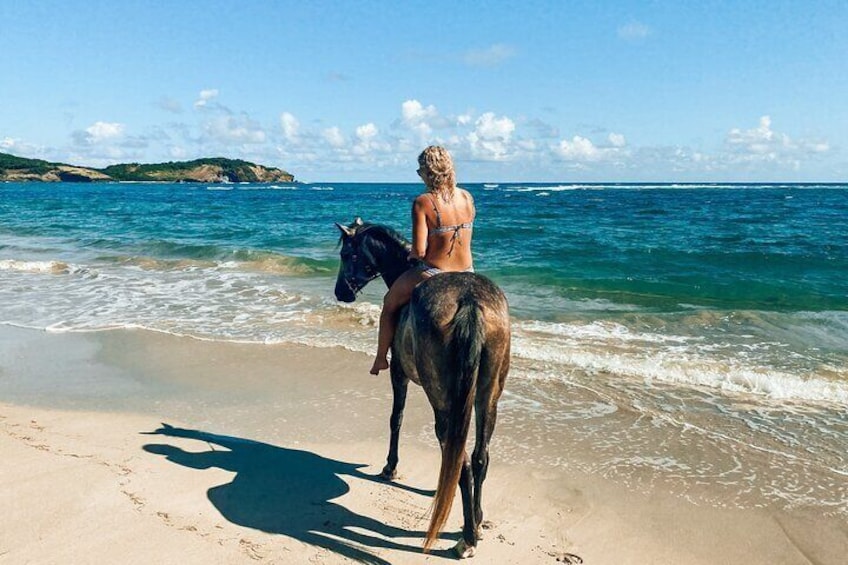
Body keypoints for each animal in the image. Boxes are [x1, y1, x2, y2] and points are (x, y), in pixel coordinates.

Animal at [334, 216, 510, 556]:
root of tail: (470, 301)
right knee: (479, 457)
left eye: (346, 255)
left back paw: (466, 538)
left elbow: (396, 418)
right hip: (487, 396)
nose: (341, 292)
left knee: (462, 458)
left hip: (442, 397)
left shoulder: (398, 372)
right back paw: (476, 522)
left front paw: (390, 467)